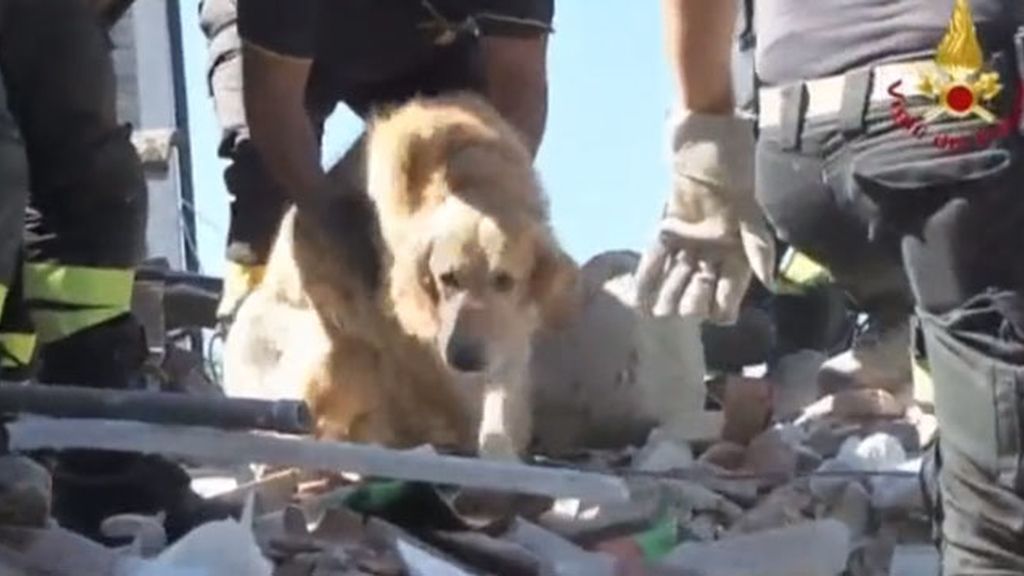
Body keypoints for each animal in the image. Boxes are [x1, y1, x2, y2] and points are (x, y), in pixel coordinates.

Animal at [222, 90, 577, 457]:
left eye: (504, 281)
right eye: (447, 278)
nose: (464, 359)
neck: (468, 175)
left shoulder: (510, 322)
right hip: (340, 349)